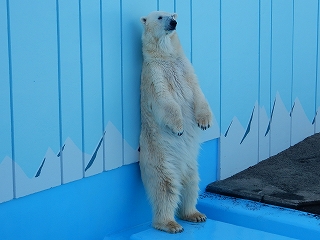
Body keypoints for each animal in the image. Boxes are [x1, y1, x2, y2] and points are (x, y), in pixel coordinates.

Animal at [139, 10, 212, 232]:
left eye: (171, 14)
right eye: (159, 17)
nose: (173, 23)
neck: (166, 57)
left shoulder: (185, 68)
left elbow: (198, 93)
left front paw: (205, 122)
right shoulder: (154, 74)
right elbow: (165, 101)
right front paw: (179, 128)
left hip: (190, 164)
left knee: (191, 184)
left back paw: (194, 214)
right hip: (160, 159)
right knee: (166, 187)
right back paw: (170, 223)